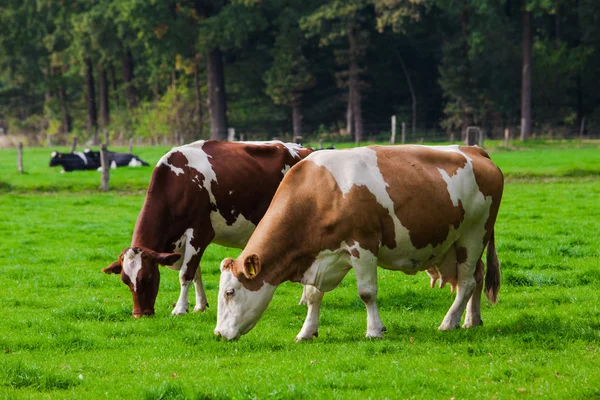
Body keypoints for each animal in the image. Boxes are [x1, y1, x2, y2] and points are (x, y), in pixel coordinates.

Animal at [101, 139, 312, 318]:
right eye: (125, 280)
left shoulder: (199, 233)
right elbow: (195, 273)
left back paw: (304, 299)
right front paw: (199, 305)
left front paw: (179, 309)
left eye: (147, 277)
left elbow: (186, 273)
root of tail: (305, 149)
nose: (139, 314)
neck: (179, 183)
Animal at [213, 144, 504, 340]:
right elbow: (313, 296)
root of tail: (474, 149)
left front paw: (374, 330)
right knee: (477, 277)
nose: (217, 333)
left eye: (230, 292)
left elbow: (367, 292)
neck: (319, 192)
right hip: (458, 245)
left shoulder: (363, 245)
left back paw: (449, 322)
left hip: (473, 235)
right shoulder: (319, 254)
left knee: (467, 283)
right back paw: (471, 320)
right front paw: (307, 331)